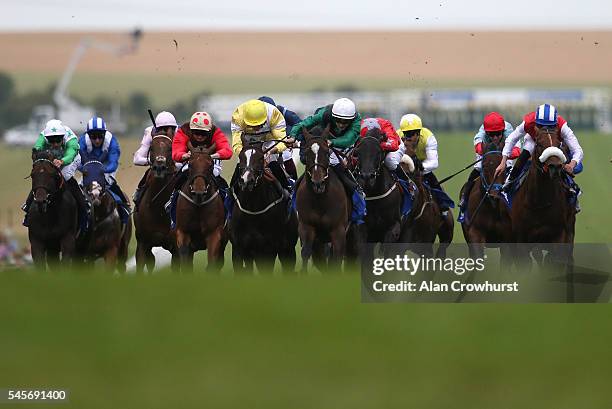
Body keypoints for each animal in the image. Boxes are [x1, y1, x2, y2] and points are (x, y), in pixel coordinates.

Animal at [175, 142, 227, 272]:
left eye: (210, 165)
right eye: (190, 164)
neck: (198, 205)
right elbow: (185, 263)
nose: (199, 193)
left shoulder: (215, 234)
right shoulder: (183, 232)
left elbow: (212, 265)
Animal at [228, 140, 298, 274]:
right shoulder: (239, 249)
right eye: (241, 157)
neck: (253, 208)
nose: (246, 180)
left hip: (288, 249)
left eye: (261, 158)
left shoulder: (268, 250)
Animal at [296, 124, 352, 270]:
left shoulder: (338, 231)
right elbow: (306, 253)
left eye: (327, 153)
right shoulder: (306, 227)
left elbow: (336, 260)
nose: (318, 183)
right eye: (306, 153)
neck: (320, 201)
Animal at [512, 125, 572, 264]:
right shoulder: (521, 239)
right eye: (539, 143)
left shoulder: (558, 235)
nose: (555, 167)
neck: (539, 202)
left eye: (559, 144)